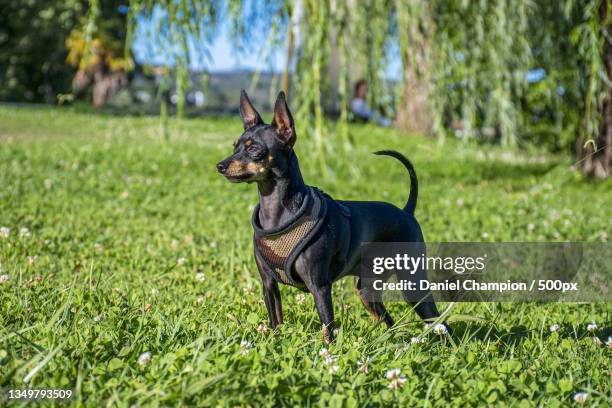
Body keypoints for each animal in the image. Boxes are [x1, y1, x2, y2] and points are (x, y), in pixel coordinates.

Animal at [218, 91, 438, 342]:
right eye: (234, 147)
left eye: (254, 149)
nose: (220, 165)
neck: (276, 213)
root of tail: (406, 211)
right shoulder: (269, 285)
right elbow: (276, 323)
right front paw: (275, 343)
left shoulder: (319, 286)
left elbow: (328, 330)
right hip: (366, 290)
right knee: (388, 320)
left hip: (413, 285)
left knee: (438, 321)